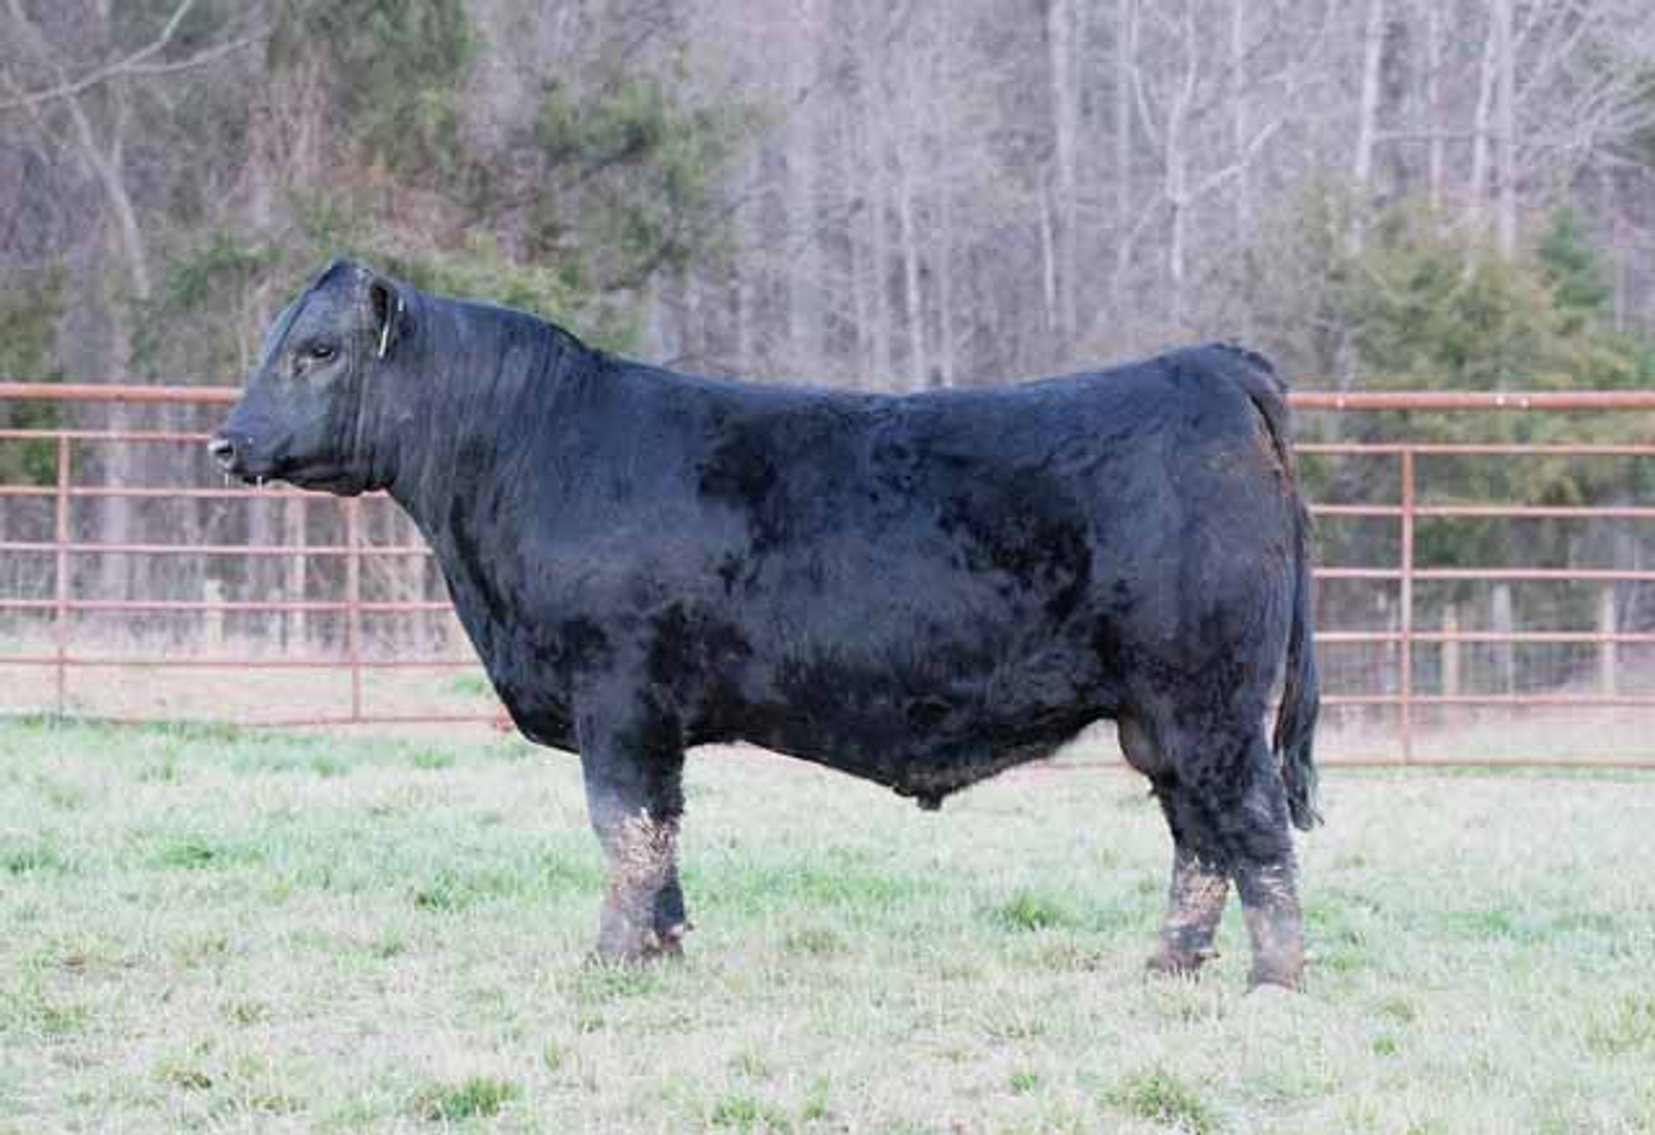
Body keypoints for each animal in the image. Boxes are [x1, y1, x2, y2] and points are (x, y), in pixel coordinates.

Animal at [210, 260, 1321, 989]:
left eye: (316, 350)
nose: (227, 440)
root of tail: (1208, 367)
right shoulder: (645, 713)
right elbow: (658, 829)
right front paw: (663, 944)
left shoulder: (616, 691)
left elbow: (624, 823)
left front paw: (611, 958)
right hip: (1156, 716)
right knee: (1196, 836)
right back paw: (1168, 965)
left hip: (1206, 697)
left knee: (1251, 826)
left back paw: (1273, 979)